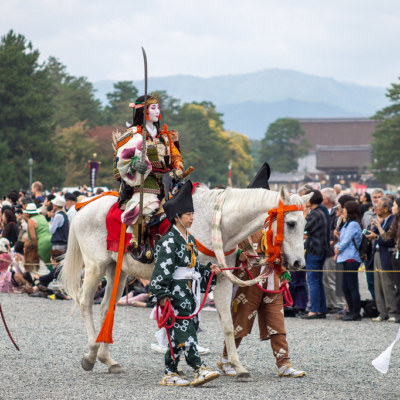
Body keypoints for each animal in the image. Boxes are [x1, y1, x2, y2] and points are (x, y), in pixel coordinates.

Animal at [61, 186, 310, 380]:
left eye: (304, 223)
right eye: (290, 223)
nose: (298, 262)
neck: (216, 223)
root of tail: (84, 206)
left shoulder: (220, 277)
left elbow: (228, 324)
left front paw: (238, 367)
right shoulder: (194, 280)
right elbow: (186, 320)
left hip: (118, 269)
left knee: (106, 308)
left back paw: (108, 360)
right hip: (96, 265)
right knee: (85, 302)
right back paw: (91, 354)